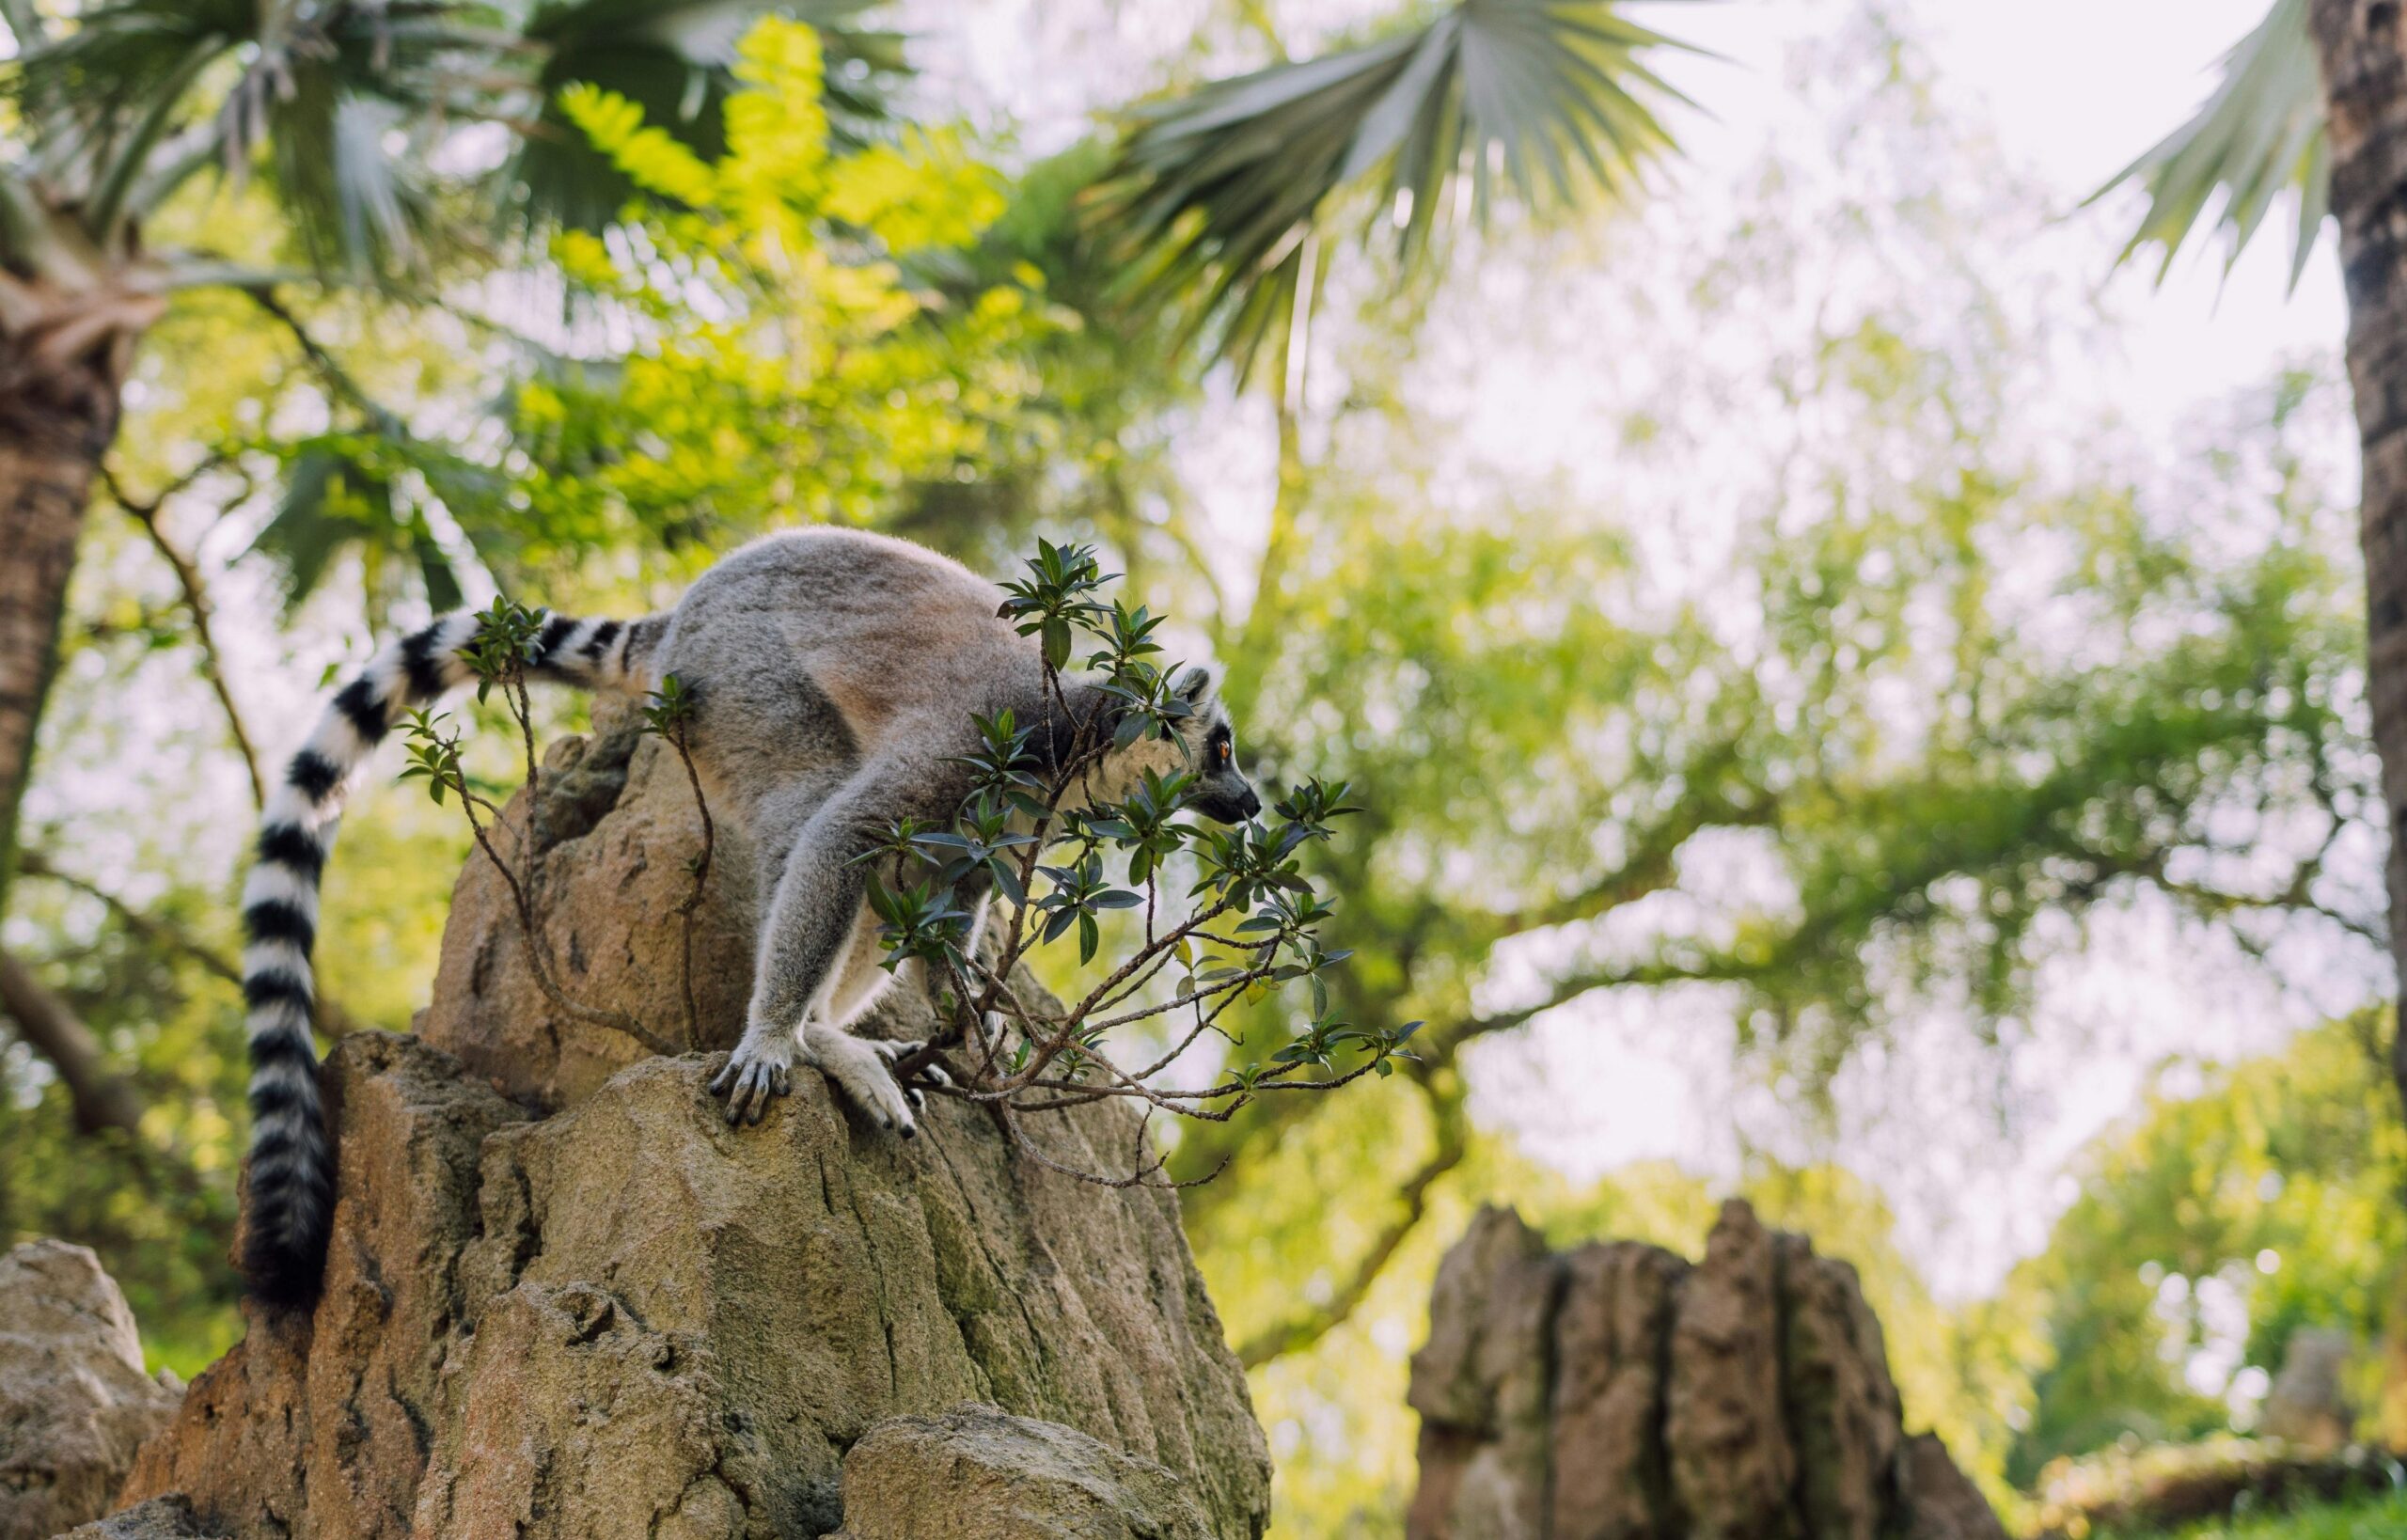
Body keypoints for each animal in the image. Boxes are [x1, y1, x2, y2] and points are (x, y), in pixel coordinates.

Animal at [238, 526, 1260, 1305]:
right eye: (1222, 747)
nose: (1251, 801)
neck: (1074, 737)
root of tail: (687, 602)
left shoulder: (998, 818)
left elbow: (947, 904)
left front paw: (971, 1030)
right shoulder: (979, 737)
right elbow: (845, 834)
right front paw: (776, 1037)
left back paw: (842, 1039)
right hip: (732, 679)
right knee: (807, 805)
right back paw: (807, 1038)